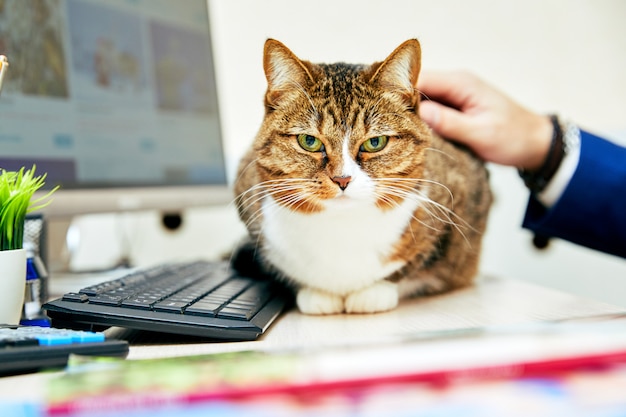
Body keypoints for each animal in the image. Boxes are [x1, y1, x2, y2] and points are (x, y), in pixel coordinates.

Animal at [232, 39, 490, 314]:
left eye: (375, 142)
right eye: (309, 141)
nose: (342, 179)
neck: (343, 229)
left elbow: (415, 262)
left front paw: (375, 292)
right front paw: (314, 293)